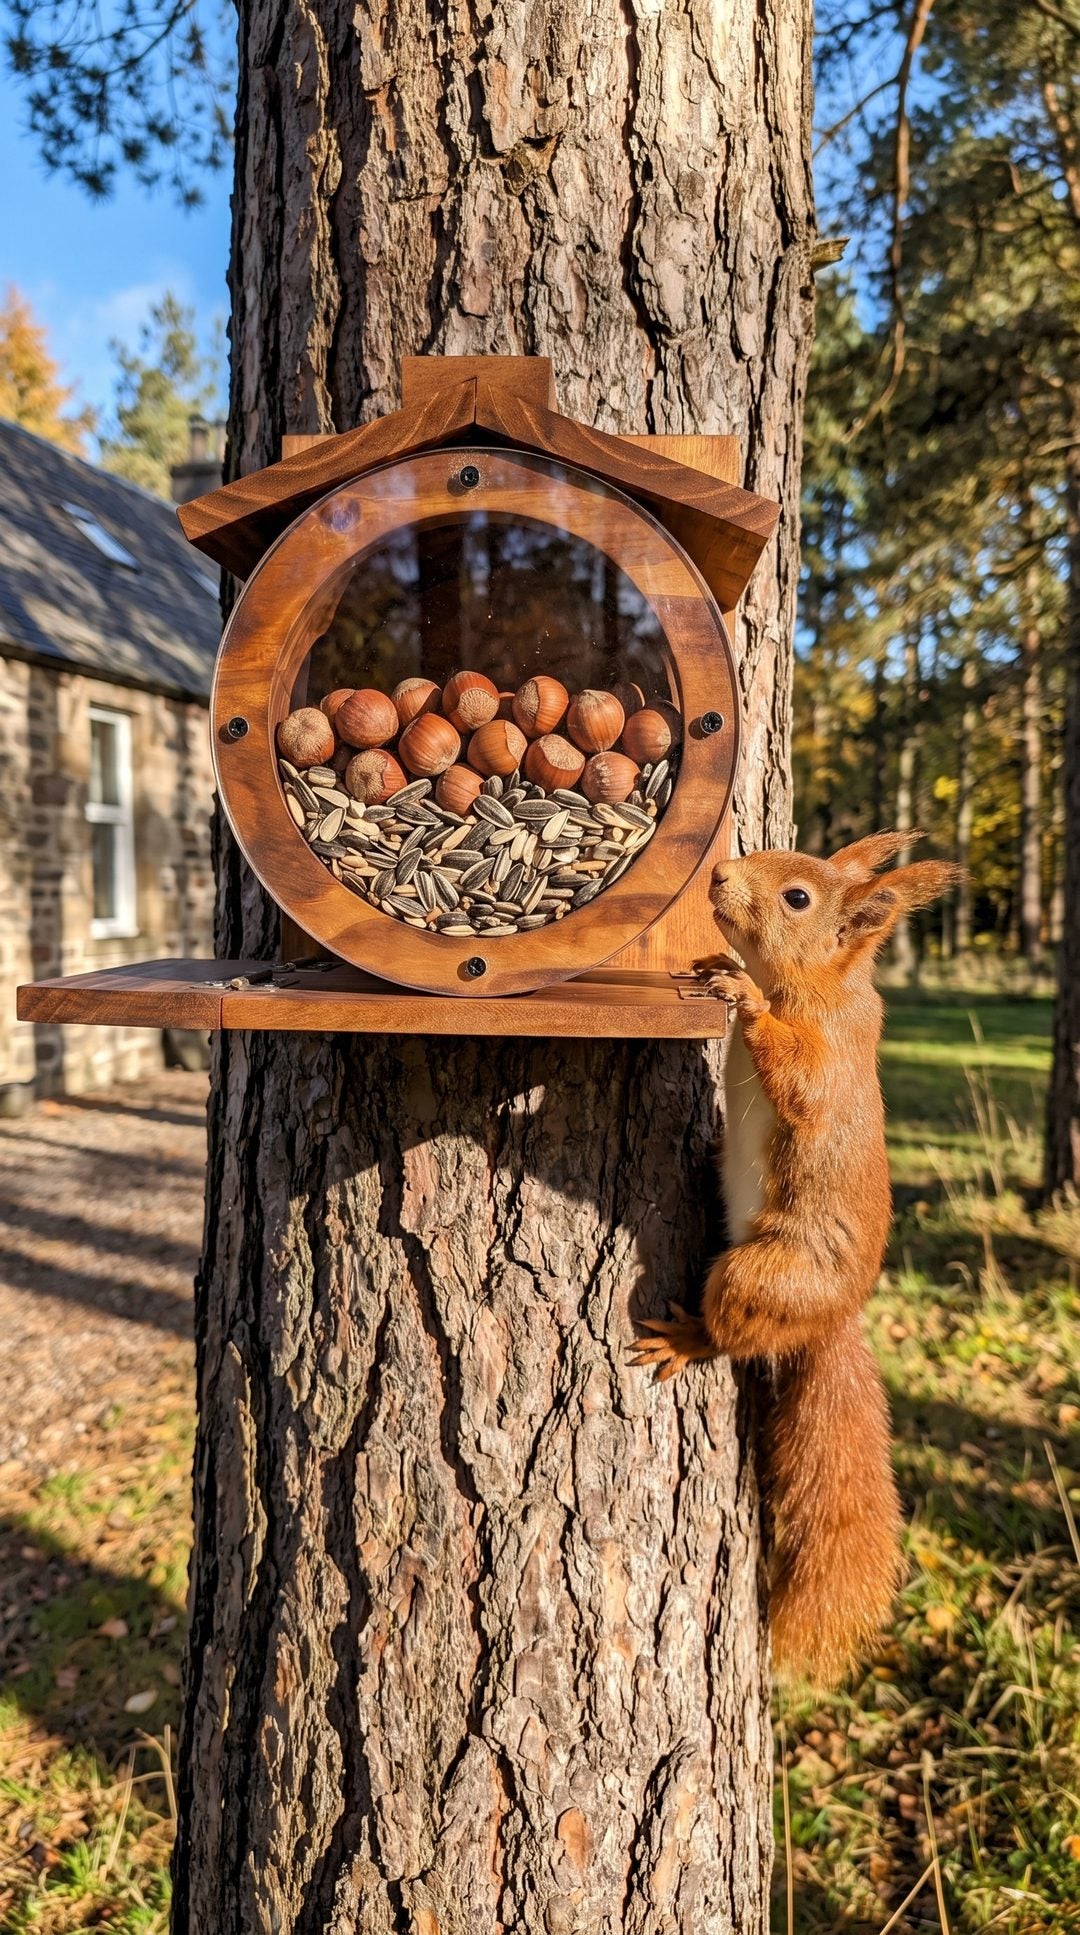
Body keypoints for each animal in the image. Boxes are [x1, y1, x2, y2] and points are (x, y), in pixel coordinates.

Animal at [630, 830, 960, 1683]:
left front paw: (744, 993)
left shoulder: (831, 1054)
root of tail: (833, 1317)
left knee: (734, 1335)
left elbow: (799, 1079)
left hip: (761, 1272)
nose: (717, 873)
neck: (816, 984)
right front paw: (718, 963)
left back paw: (686, 1338)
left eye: (798, 898)